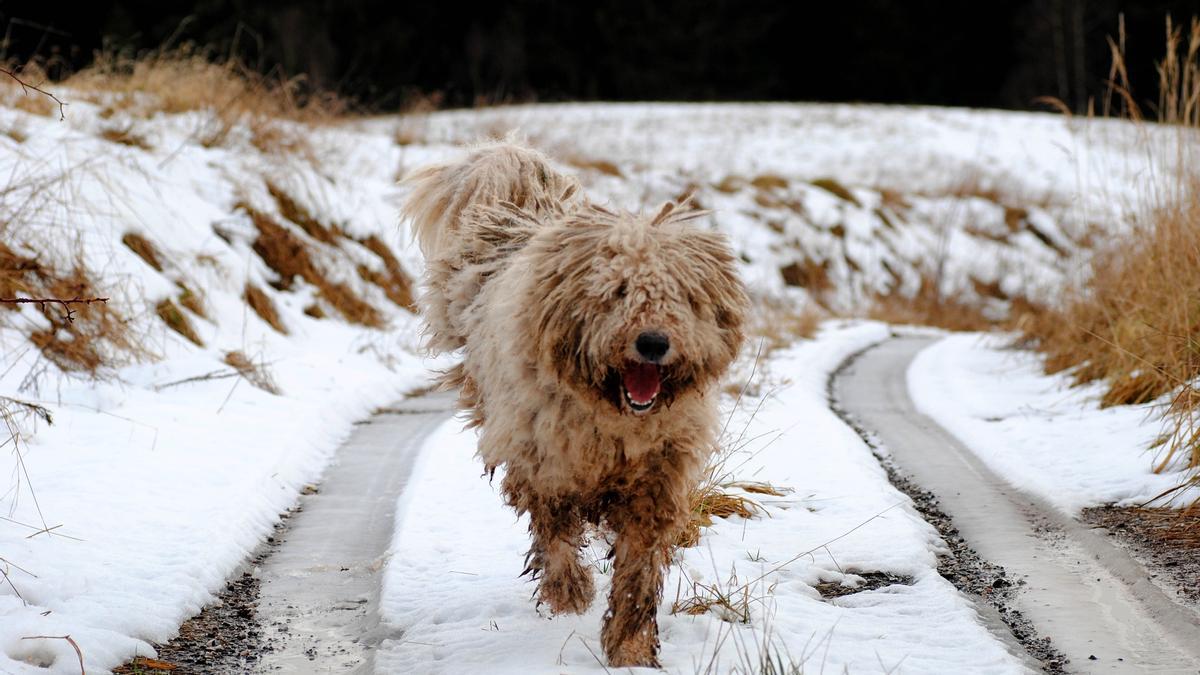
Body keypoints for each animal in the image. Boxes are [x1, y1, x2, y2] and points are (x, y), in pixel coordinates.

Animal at [403, 141, 744, 667]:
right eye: (618, 291)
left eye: (681, 296)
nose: (652, 343)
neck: (614, 416)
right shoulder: (544, 462)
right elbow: (555, 533)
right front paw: (570, 593)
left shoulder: (657, 477)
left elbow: (638, 569)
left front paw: (630, 647)